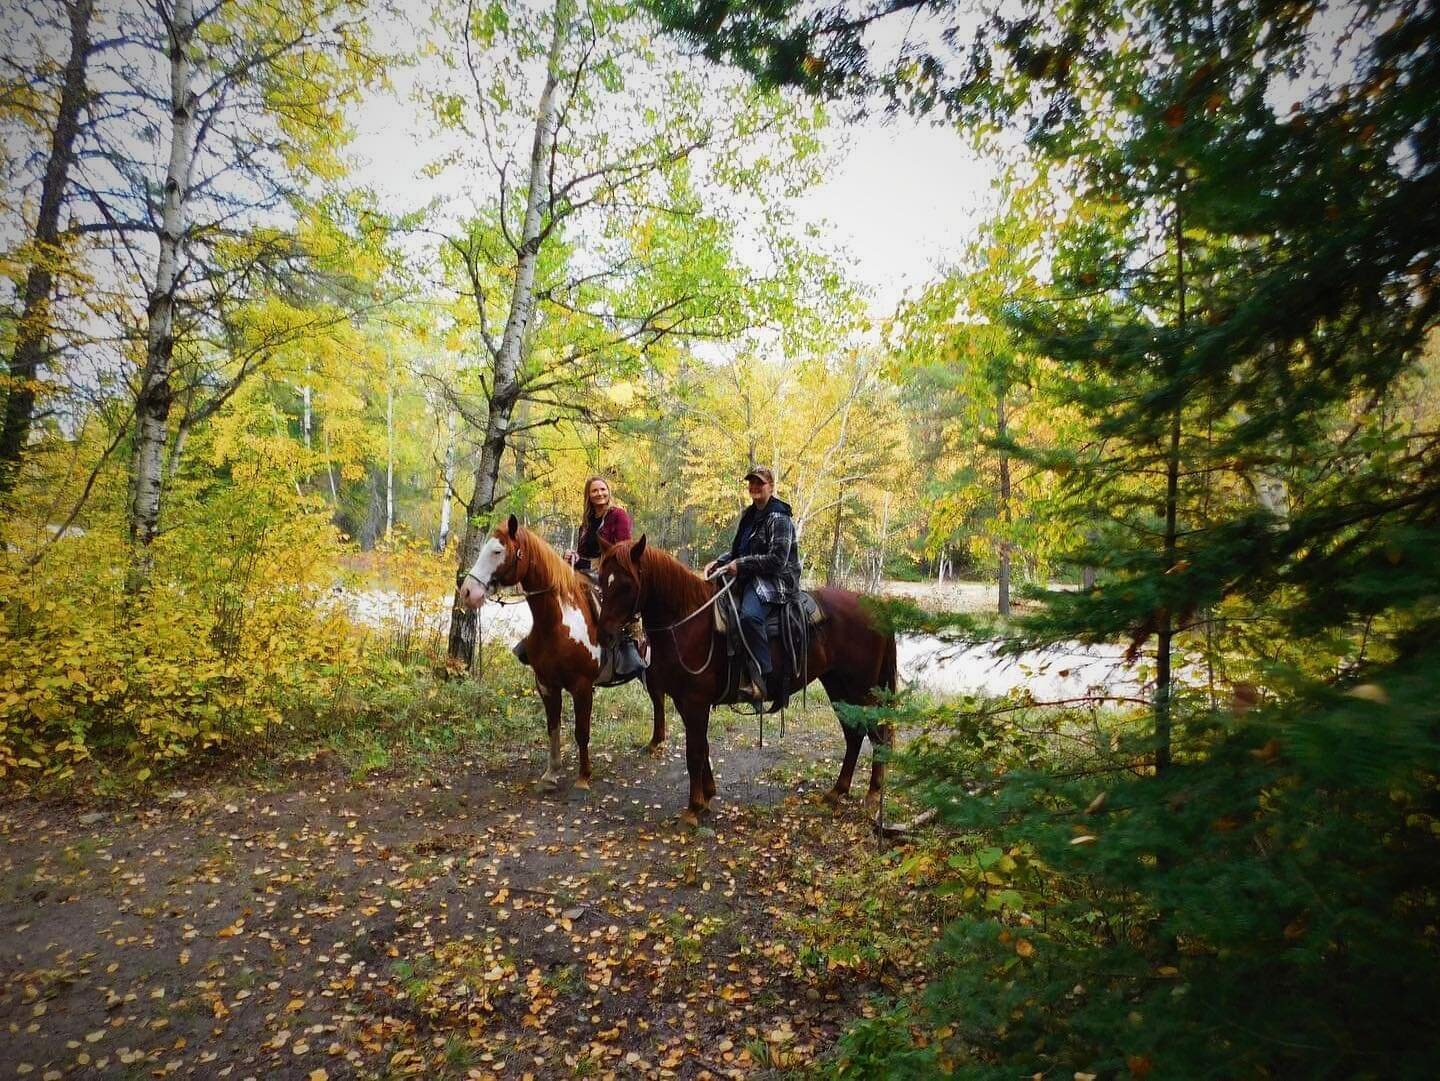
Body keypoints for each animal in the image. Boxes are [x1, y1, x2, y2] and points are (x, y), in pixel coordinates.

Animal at [457, 515, 665, 788]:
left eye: (497, 551)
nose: (468, 592)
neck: (557, 622)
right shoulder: (546, 684)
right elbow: (553, 727)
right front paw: (551, 773)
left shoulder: (582, 687)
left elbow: (582, 732)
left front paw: (583, 776)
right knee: (658, 699)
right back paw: (655, 742)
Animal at [593, 535, 887, 829]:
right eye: (601, 579)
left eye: (626, 584)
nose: (604, 634)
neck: (687, 622)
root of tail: (872, 606)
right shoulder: (683, 701)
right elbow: (702, 747)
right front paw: (706, 796)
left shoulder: (695, 702)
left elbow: (694, 753)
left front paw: (692, 809)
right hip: (838, 686)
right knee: (854, 734)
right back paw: (838, 791)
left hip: (862, 689)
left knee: (878, 734)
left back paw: (873, 795)